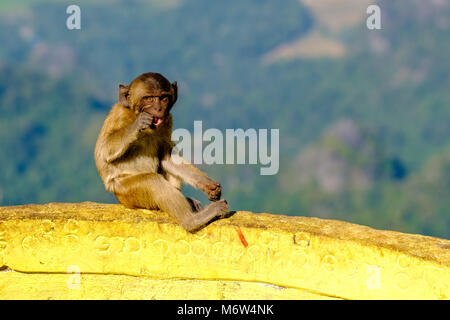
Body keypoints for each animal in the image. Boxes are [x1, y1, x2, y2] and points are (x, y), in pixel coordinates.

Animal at [94, 72, 229, 232]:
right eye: (149, 99)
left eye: (164, 98)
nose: (159, 109)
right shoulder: (119, 114)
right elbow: (103, 151)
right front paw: (139, 123)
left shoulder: (168, 120)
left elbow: (167, 158)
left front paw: (208, 185)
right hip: (125, 192)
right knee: (152, 181)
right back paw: (192, 221)